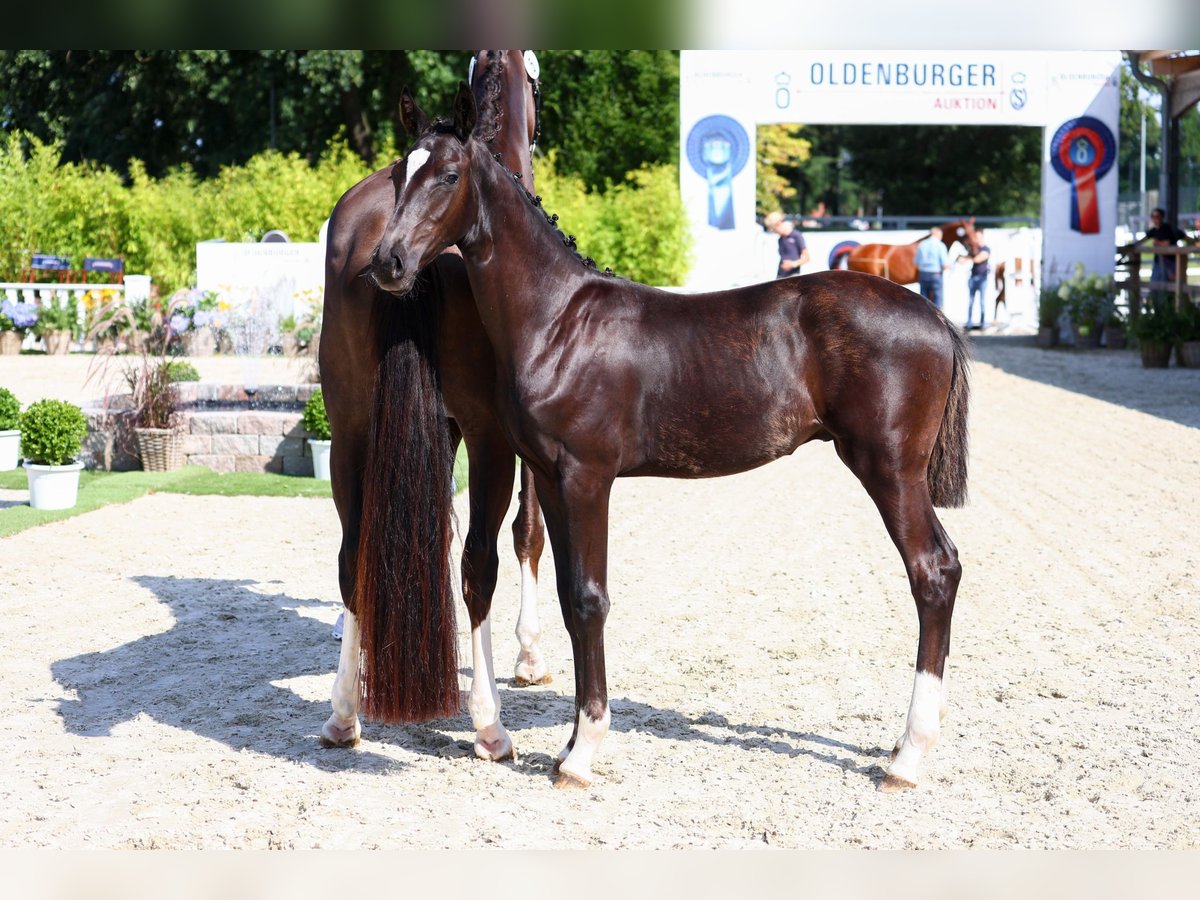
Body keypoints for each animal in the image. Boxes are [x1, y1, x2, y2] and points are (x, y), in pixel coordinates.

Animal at [316, 51, 547, 768]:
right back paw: (489, 725)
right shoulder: (511, 436)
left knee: (352, 557)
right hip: (488, 440)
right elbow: (525, 535)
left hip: (348, 430)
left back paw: (345, 713)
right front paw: (528, 656)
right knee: (479, 568)